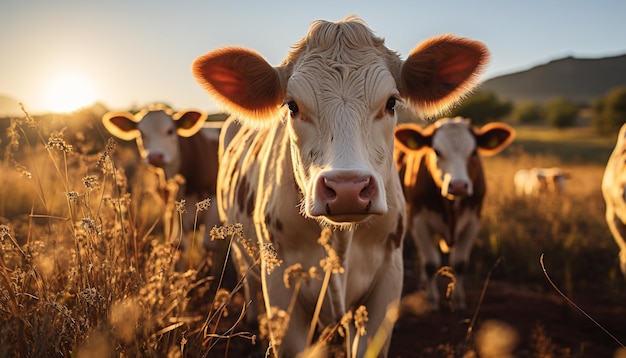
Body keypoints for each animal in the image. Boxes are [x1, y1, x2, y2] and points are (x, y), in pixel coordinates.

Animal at [104, 103, 224, 268]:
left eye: (170, 131)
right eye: (141, 133)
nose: (155, 156)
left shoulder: (214, 202)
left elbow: (208, 245)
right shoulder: (172, 206)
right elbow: (177, 244)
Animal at [392, 119, 516, 312]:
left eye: (474, 152)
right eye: (436, 151)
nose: (458, 186)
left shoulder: (473, 220)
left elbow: (459, 262)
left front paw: (459, 301)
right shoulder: (418, 219)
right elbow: (430, 262)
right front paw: (433, 300)